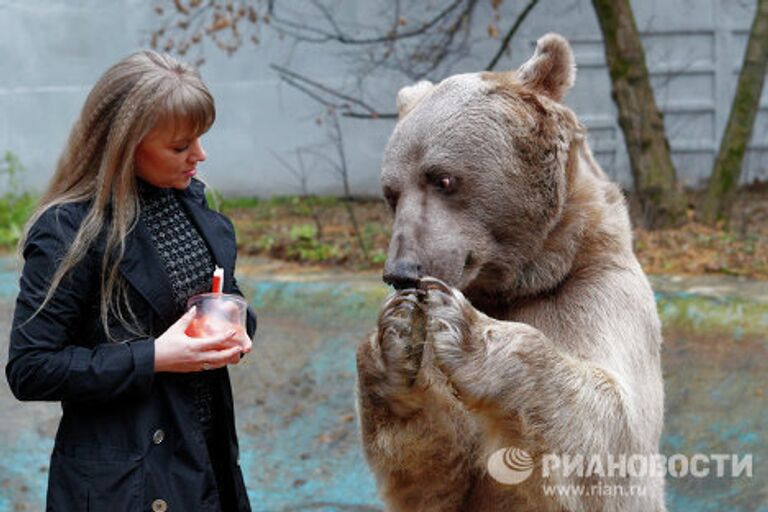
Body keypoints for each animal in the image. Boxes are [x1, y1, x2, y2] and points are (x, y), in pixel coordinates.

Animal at [356, 34, 668, 510]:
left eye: (442, 179)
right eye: (392, 193)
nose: (402, 272)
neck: (527, 279)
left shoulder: (598, 293)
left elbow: (611, 433)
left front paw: (466, 330)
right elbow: (437, 470)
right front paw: (393, 338)